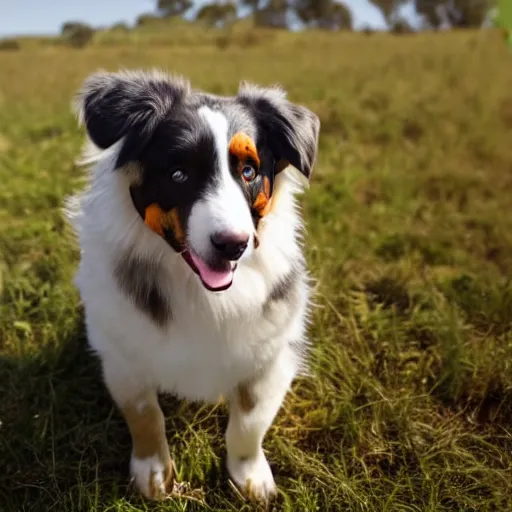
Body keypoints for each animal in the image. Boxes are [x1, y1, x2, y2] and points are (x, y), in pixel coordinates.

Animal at [66, 70, 318, 502]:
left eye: (249, 171)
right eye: (178, 174)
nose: (233, 245)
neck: (201, 290)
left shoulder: (271, 354)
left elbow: (249, 422)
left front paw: (250, 478)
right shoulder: (122, 352)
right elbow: (145, 414)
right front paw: (153, 475)